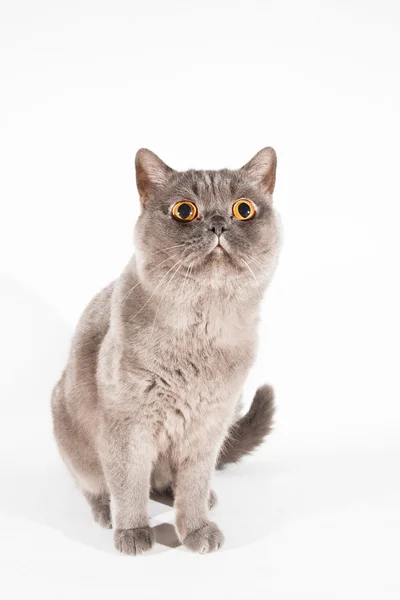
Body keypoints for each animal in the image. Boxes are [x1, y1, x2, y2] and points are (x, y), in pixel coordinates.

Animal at [50, 148, 282, 556]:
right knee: (98, 484)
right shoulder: (129, 427)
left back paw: (204, 499)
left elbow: (191, 486)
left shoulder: (208, 427)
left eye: (243, 210)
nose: (218, 225)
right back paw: (107, 513)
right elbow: (128, 485)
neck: (200, 333)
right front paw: (132, 534)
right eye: (184, 211)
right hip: (68, 421)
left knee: (167, 483)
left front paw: (196, 531)